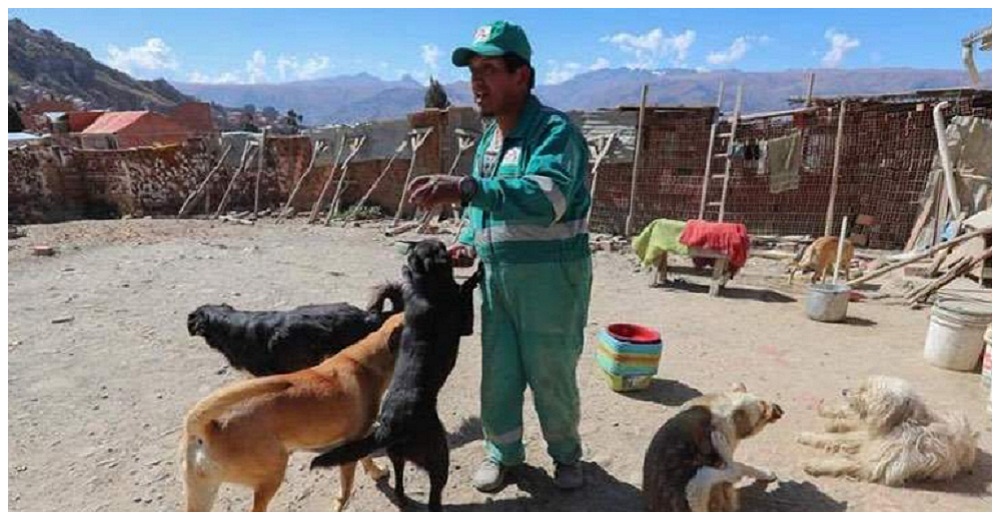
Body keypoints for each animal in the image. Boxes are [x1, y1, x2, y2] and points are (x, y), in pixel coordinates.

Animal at [180, 312, 402, 512]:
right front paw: (342, 502)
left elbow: (366, 458)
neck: (369, 361)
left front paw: (376, 472)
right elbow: (347, 486)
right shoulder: (353, 442)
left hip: (202, 494)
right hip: (272, 474)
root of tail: (206, 427)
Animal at [312, 240, 484, 512]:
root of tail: (390, 427)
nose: (446, 244)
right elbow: (465, 291)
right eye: (438, 247)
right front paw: (476, 274)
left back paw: (403, 500)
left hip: (397, 456)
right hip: (438, 457)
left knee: (400, 485)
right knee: (434, 495)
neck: (426, 287)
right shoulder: (464, 324)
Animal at [644, 382, 784, 512]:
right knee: (734, 471)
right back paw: (720, 443)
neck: (732, 407)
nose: (778, 410)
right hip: (697, 483)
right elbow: (741, 466)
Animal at [796, 376, 976, 486]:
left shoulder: (876, 463)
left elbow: (844, 457)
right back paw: (829, 414)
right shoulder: (871, 440)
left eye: (865, 391)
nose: (844, 391)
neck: (902, 424)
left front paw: (816, 463)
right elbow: (839, 437)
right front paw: (810, 436)